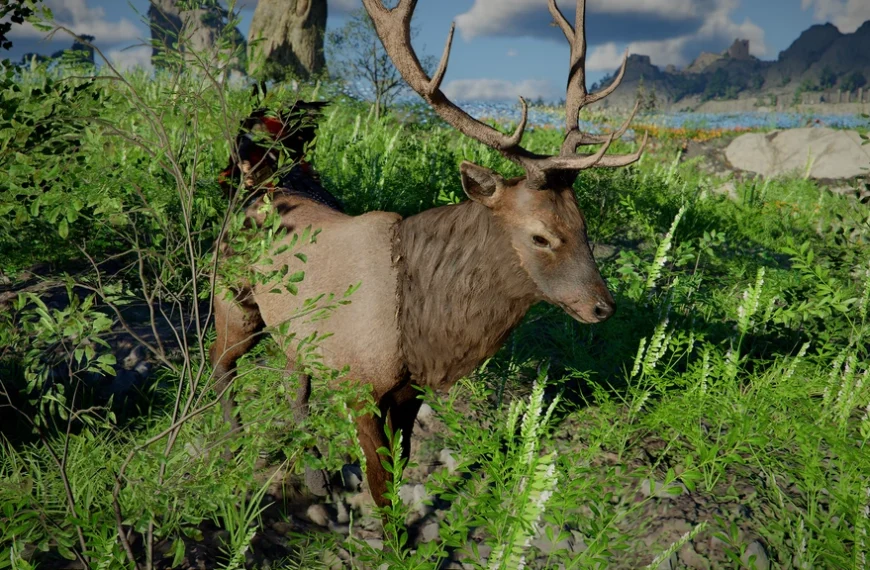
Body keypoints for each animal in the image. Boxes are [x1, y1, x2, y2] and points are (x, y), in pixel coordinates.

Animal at [210, 0, 647, 513]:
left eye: (583, 226)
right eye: (540, 237)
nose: (601, 306)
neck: (421, 331)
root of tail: (252, 176)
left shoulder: (408, 389)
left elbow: (402, 464)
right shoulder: (361, 388)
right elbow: (382, 489)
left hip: (296, 331)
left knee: (293, 382)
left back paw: (317, 476)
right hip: (233, 300)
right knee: (221, 365)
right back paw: (235, 448)